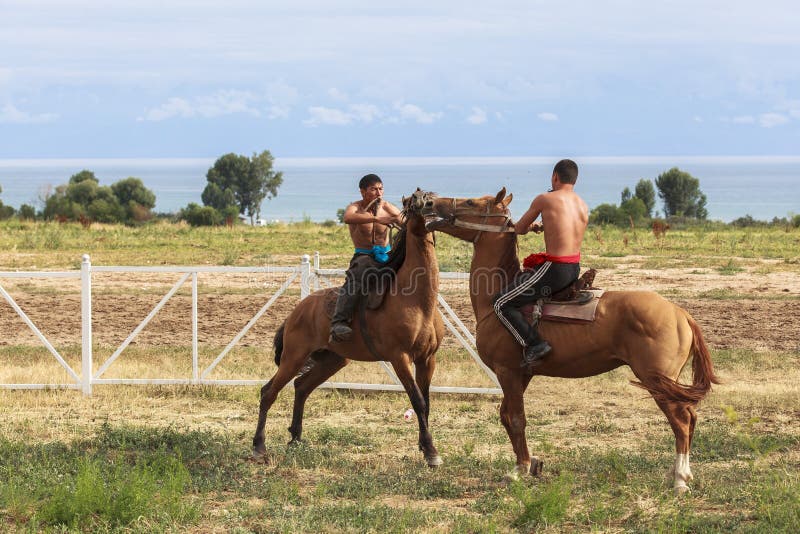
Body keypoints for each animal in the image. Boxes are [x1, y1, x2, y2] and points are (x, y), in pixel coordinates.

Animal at [253, 191, 446, 466]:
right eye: (414, 202)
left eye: (433, 197)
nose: (429, 206)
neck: (417, 301)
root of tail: (297, 312)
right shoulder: (400, 358)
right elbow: (418, 401)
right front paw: (430, 452)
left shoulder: (427, 359)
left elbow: (426, 403)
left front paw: (424, 445)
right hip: (294, 357)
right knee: (269, 392)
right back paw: (259, 447)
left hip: (332, 360)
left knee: (302, 386)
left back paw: (296, 438)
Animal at [422, 188, 720, 494]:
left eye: (471, 201)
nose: (430, 201)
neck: (498, 295)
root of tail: (680, 313)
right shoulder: (521, 374)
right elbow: (507, 415)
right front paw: (531, 464)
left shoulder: (508, 372)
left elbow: (516, 419)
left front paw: (519, 470)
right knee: (690, 416)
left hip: (658, 381)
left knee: (681, 421)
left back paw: (680, 479)